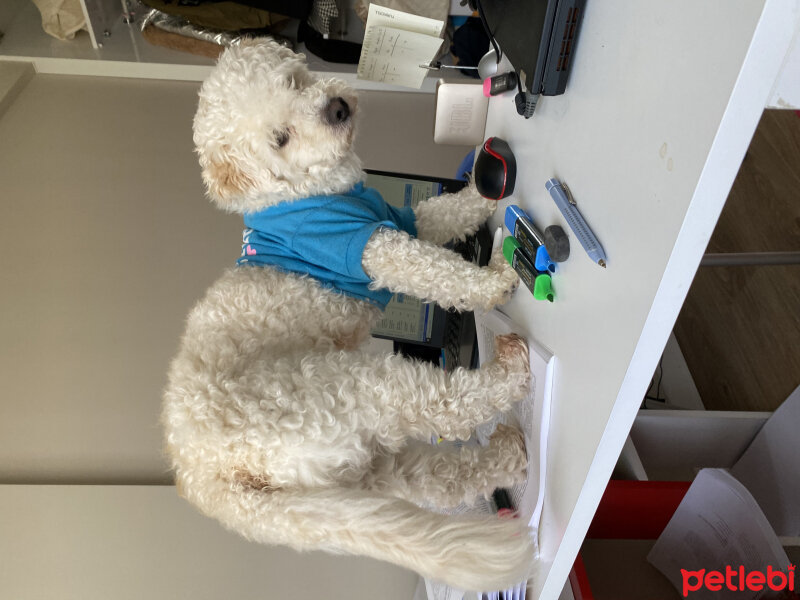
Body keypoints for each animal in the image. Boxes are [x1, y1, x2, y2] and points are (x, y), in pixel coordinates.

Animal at [163, 38, 536, 592]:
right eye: (280, 138)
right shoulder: (367, 244)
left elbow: (448, 212)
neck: (304, 193)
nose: (336, 109)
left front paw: (484, 185)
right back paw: (508, 372)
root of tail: (207, 481)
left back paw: (508, 457)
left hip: (362, 470)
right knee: (443, 404)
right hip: (345, 389)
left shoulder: (401, 216)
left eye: (293, 81)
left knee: (443, 480)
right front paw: (492, 280)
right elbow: (435, 269)